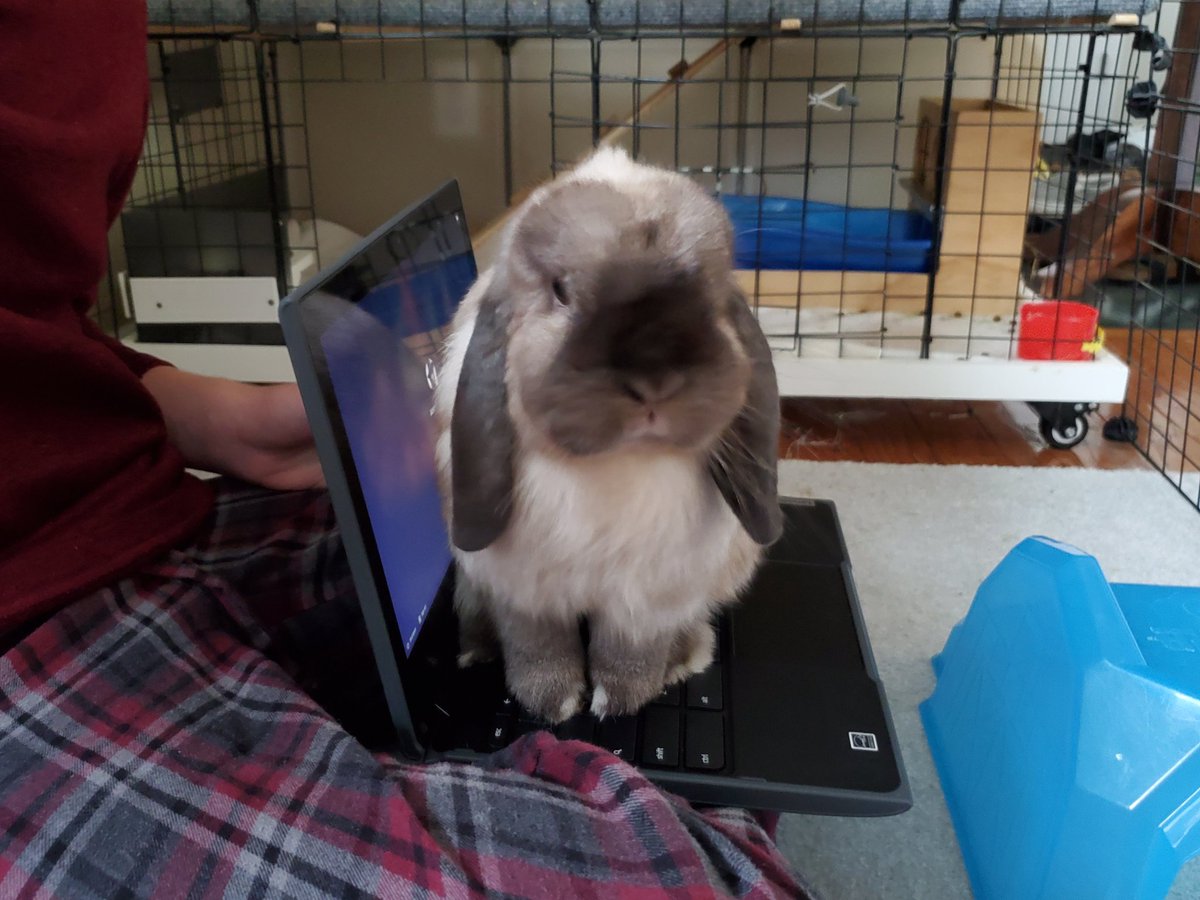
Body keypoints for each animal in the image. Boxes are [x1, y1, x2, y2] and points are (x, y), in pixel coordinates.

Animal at [432, 146, 782, 724]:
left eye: (710, 294)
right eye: (560, 291)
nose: (654, 381)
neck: (615, 466)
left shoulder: (645, 601)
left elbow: (629, 653)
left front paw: (615, 703)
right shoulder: (524, 592)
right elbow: (537, 647)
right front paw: (552, 704)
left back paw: (684, 658)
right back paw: (475, 649)